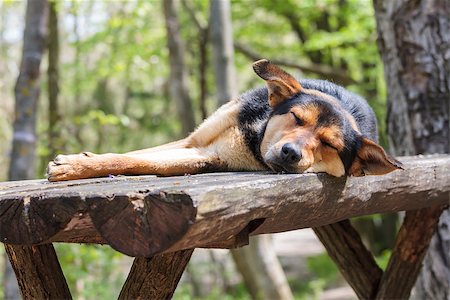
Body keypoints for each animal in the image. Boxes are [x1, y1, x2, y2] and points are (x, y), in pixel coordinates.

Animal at [47, 58, 402, 180]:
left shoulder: (204, 155)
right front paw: (84, 160)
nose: (290, 153)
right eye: (297, 118)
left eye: (329, 144)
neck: (253, 132)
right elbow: (133, 154)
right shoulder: (193, 140)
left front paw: (72, 166)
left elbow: (136, 162)